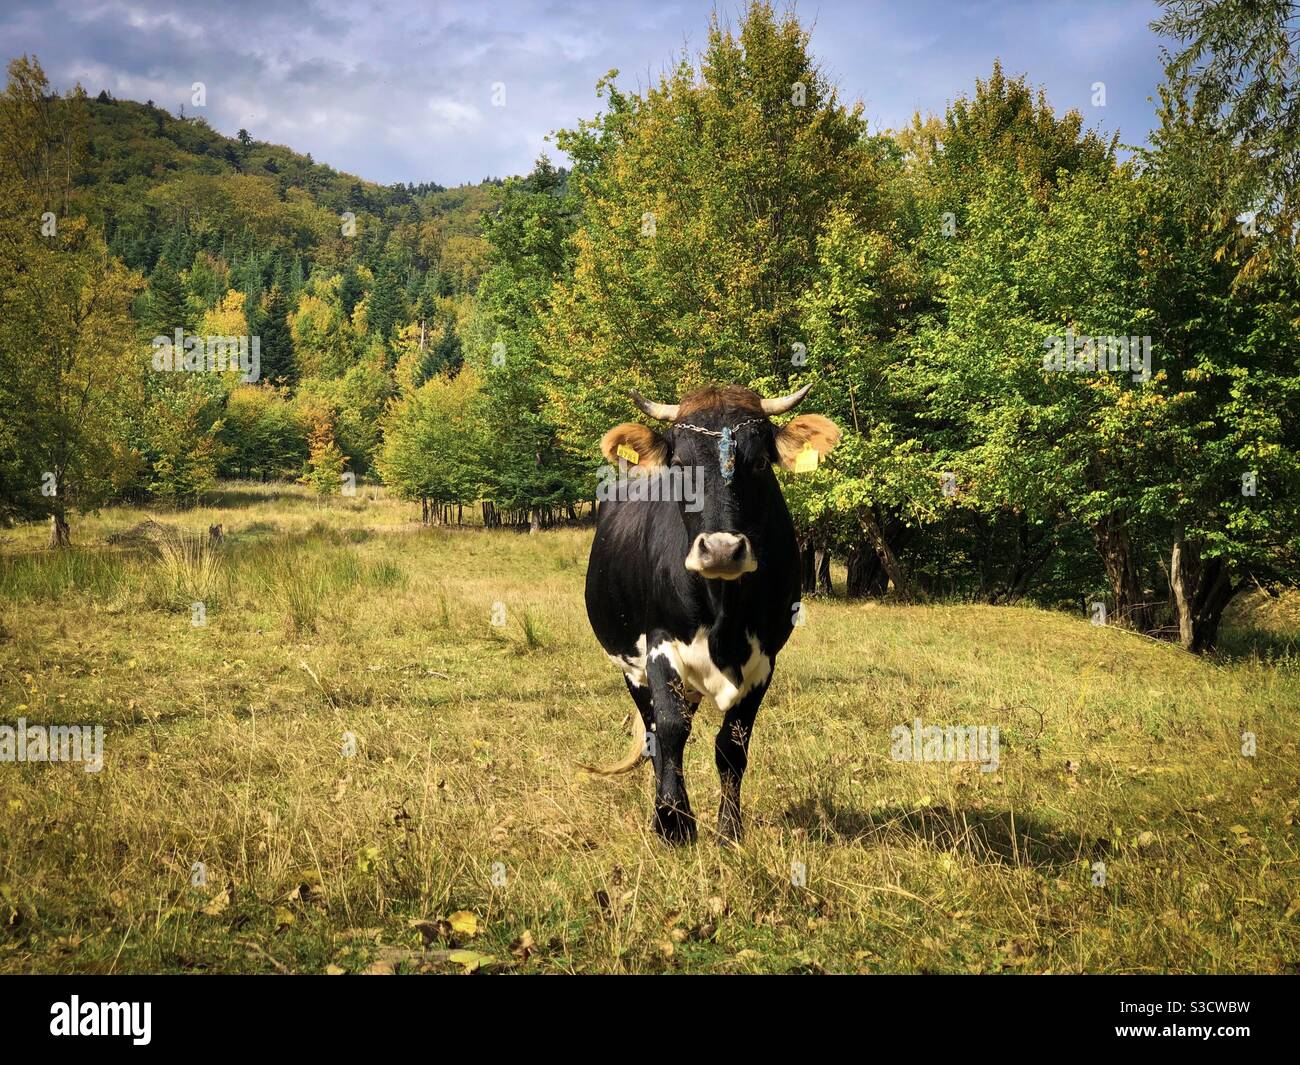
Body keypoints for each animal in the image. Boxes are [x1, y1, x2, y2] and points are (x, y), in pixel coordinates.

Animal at [582, 383, 841, 844]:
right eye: (679, 466)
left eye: (760, 462)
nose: (721, 549)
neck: (724, 615)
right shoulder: (659, 645)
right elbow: (671, 731)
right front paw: (673, 824)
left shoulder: (765, 660)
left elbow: (732, 746)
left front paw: (728, 830)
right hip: (631, 668)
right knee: (654, 732)